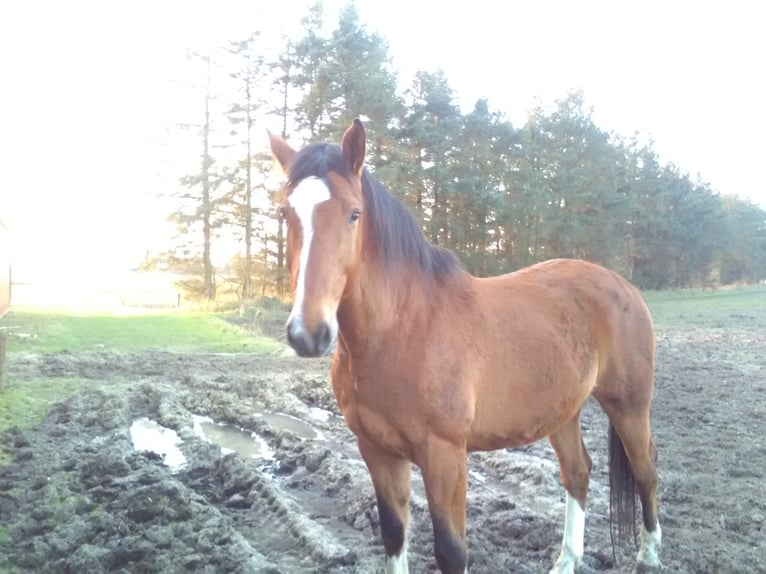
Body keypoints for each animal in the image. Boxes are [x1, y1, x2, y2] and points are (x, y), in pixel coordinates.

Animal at [268, 119, 660, 572]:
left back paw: (649, 557)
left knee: (646, 470)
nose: (308, 333)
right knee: (578, 473)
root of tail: (623, 286)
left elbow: (452, 550)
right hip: (564, 411)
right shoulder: (377, 451)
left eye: (354, 213)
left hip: (629, 405)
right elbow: (393, 534)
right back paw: (566, 560)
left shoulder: (444, 456)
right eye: (285, 213)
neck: (403, 329)